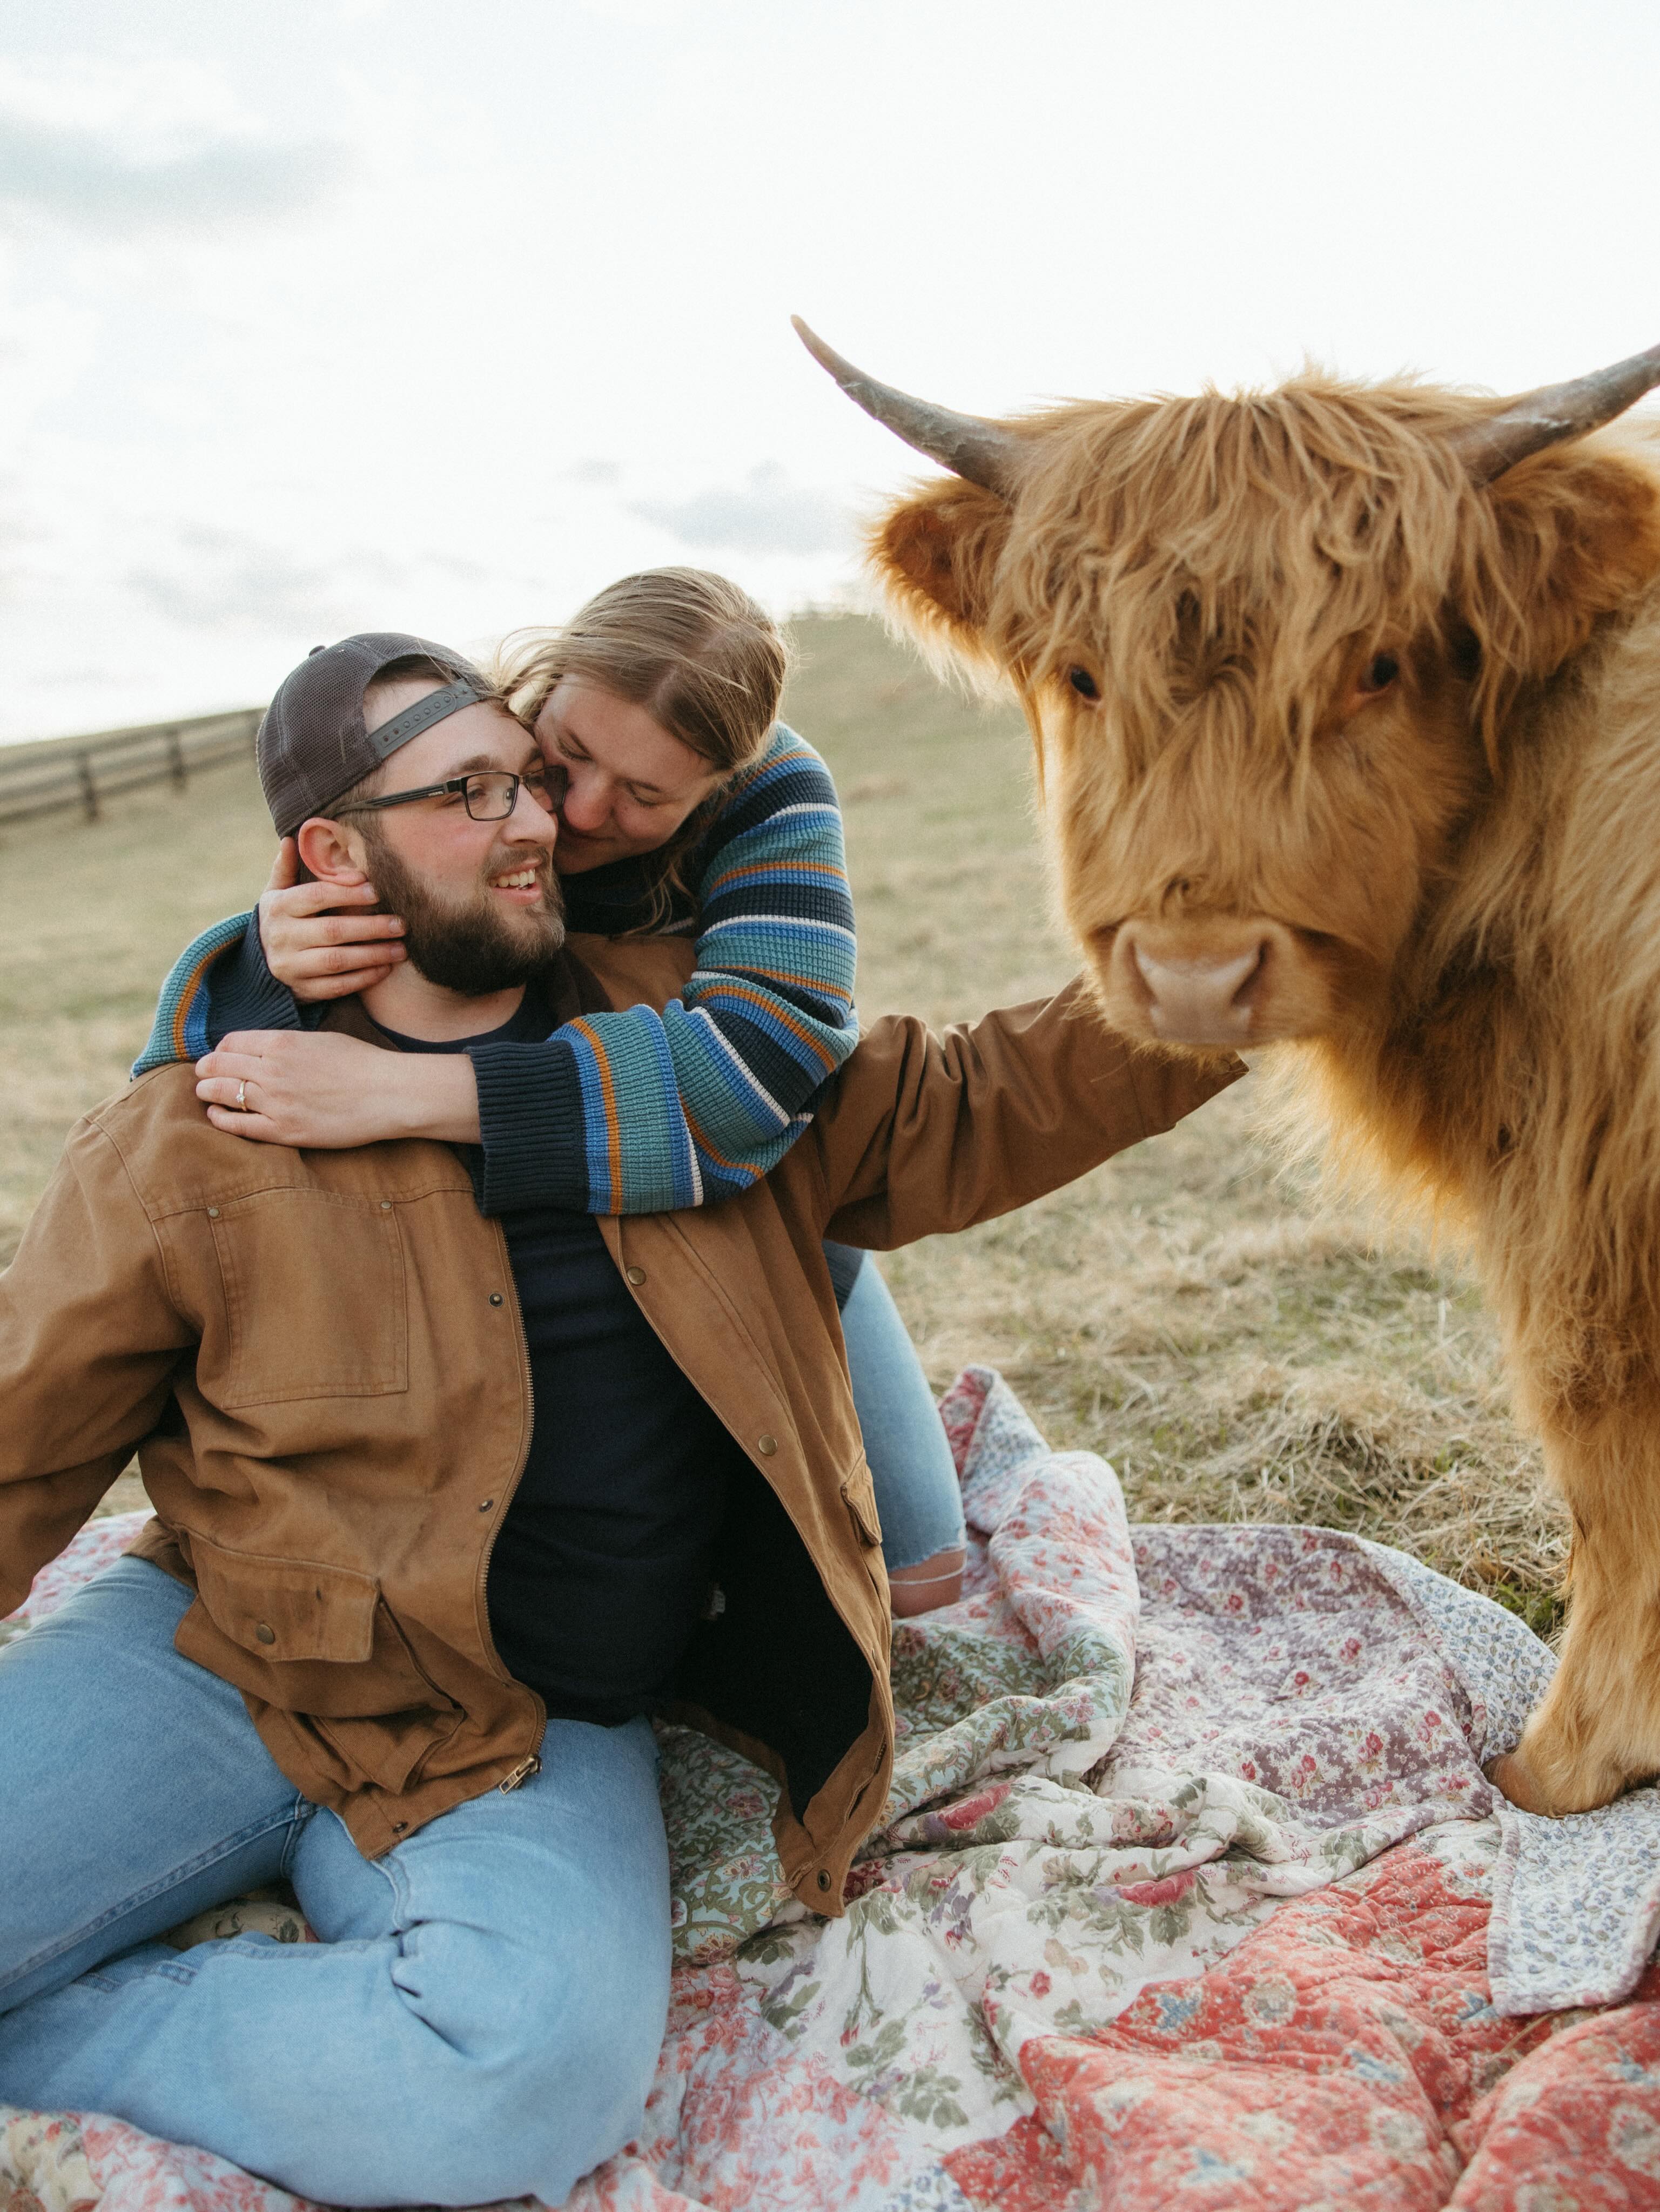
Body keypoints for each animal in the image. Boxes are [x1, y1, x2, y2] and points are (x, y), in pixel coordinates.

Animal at [795, 316, 1660, 1820]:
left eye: (1379, 665)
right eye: (1085, 676)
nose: (1195, 974)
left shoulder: (1590, 1205)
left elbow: (1599, 1444)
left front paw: (1562, 1766)